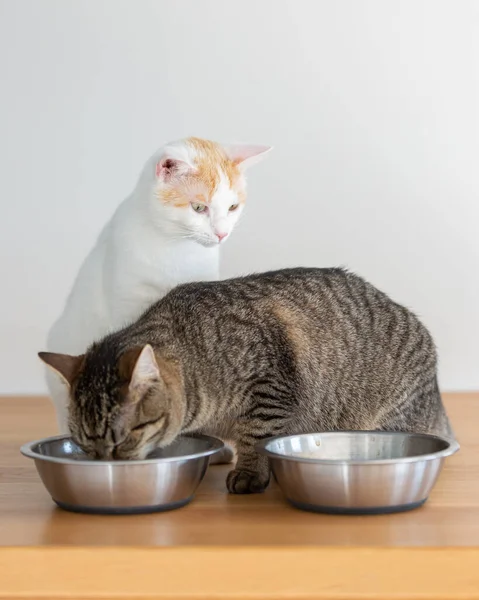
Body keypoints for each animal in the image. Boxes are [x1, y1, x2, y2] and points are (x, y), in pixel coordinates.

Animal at [40, 270, 454, 494]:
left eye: (123, 440)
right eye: (83, 445)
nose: (101, 468)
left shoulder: (269, 387)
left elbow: (256, 435)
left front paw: (250, 472)